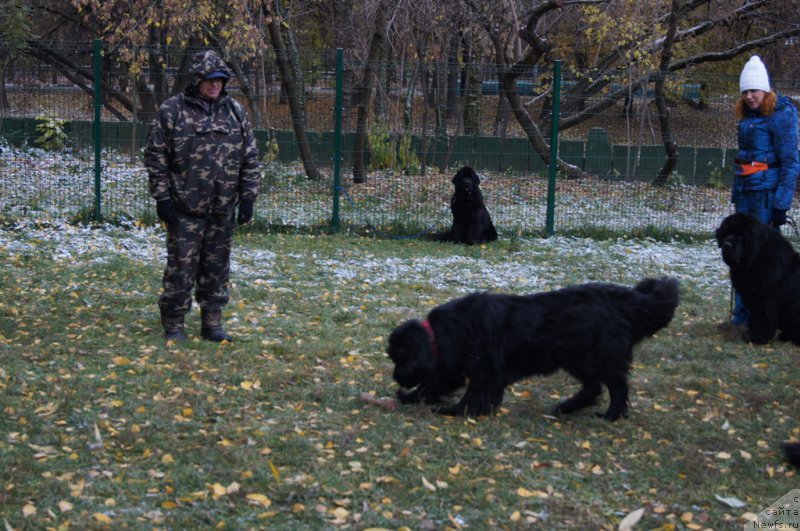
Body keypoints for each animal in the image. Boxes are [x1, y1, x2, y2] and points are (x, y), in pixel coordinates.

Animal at [384, 278, 680, 420]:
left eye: (398, 357)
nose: (395, 377)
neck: (441, 334)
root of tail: (622, 301)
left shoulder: (485, 369)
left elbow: (474, 394)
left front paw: (456, 412)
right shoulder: (455, 368)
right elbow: (433, 385)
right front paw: (410, 397)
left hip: (589, 355)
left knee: (616, 386)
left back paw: (609, 416)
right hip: (576, 356)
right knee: (594, 386)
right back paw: (567, 408)